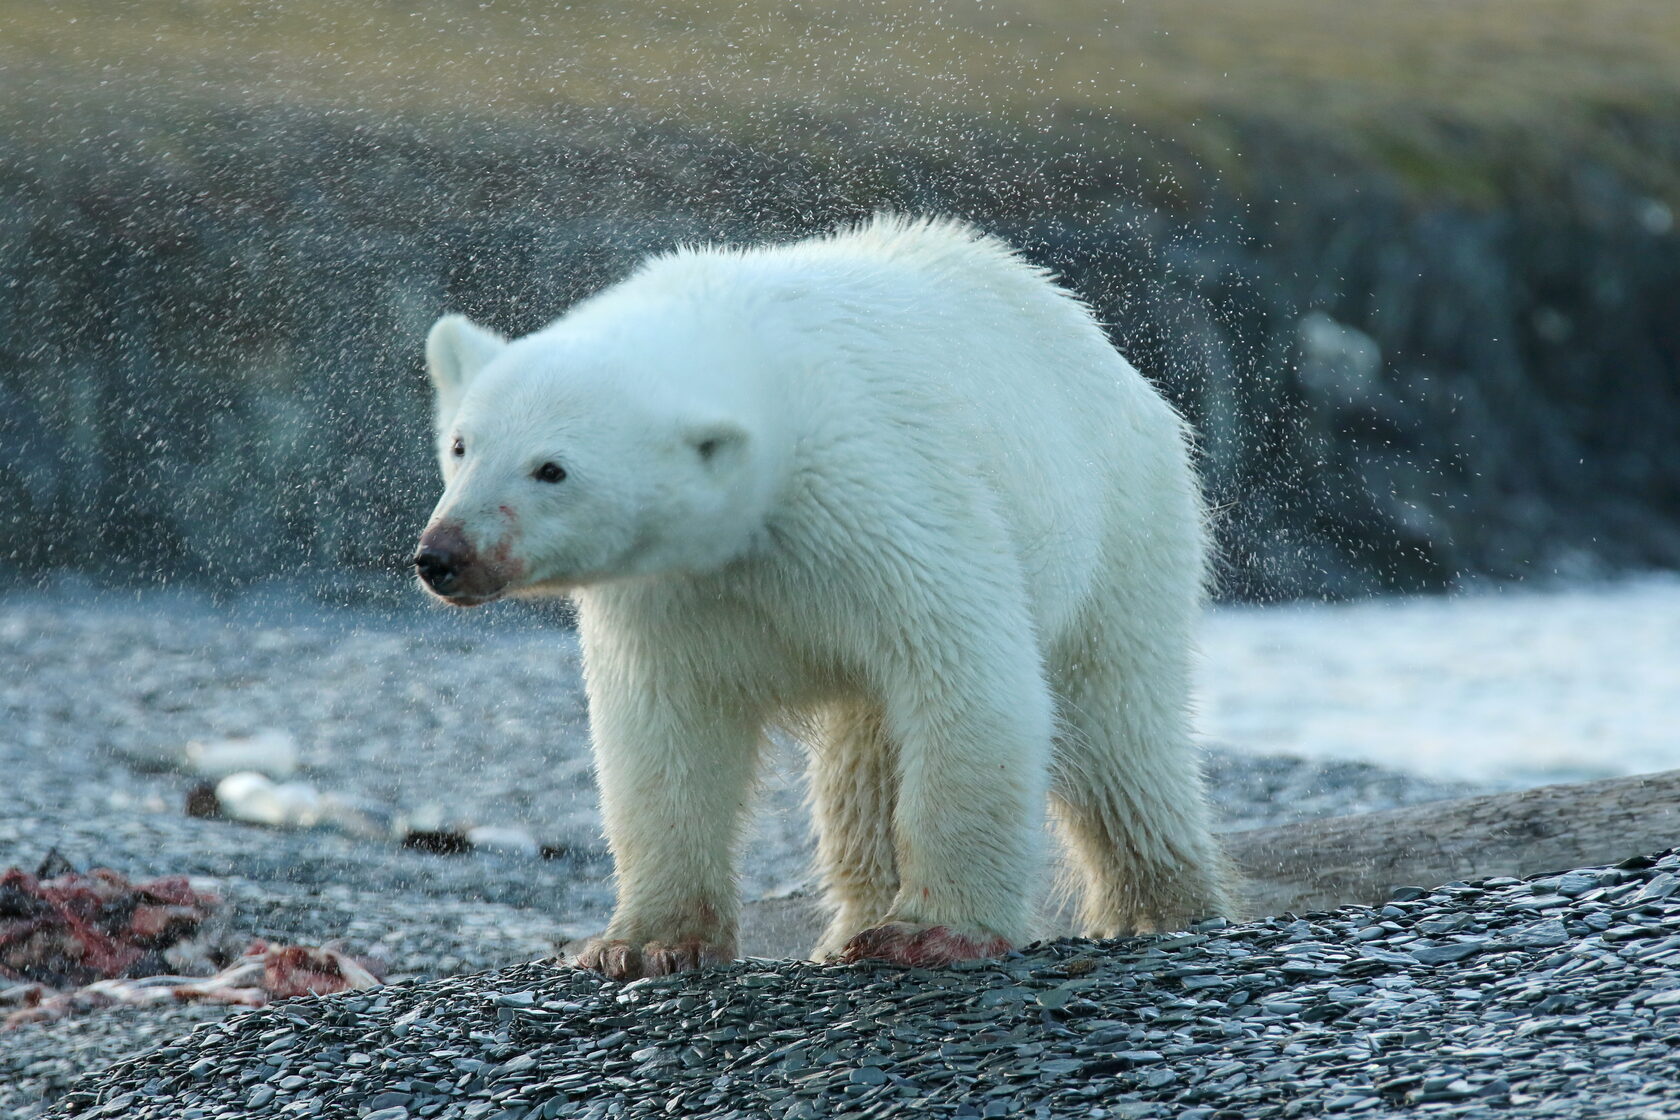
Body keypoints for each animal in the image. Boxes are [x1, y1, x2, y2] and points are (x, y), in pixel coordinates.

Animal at [416, 214, 1236, 973]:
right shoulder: (667, 592)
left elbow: (967, 678)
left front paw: (933, 932)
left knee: (1118, 732)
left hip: (1122, 528)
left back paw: (1159, 908)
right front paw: (645, 944)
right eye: (461, 443)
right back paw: (851, 926)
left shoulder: (877, 498)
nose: (443, 556)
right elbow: (663, 730)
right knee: (862, 764)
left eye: (552, 469)